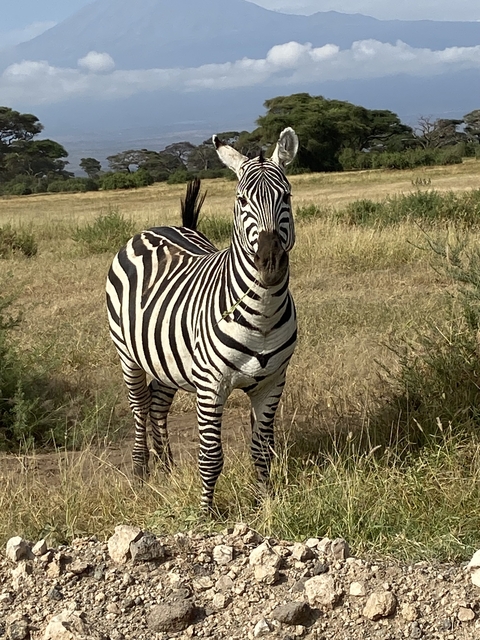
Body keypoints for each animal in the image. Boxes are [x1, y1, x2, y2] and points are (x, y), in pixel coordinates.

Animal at [106, 127, 299, 510]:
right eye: (241, 201)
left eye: (285, 196)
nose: (270, 264)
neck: (263, 315)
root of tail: (160, 227)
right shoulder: (211, 386)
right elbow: (211, 457)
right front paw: (206, 513)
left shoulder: (273, 382)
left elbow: (262, 450)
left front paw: (265, 504)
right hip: (127, 354)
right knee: (139, 406)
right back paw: (140, 473)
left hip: (166, 358)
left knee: (157, 405)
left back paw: (166, 469)